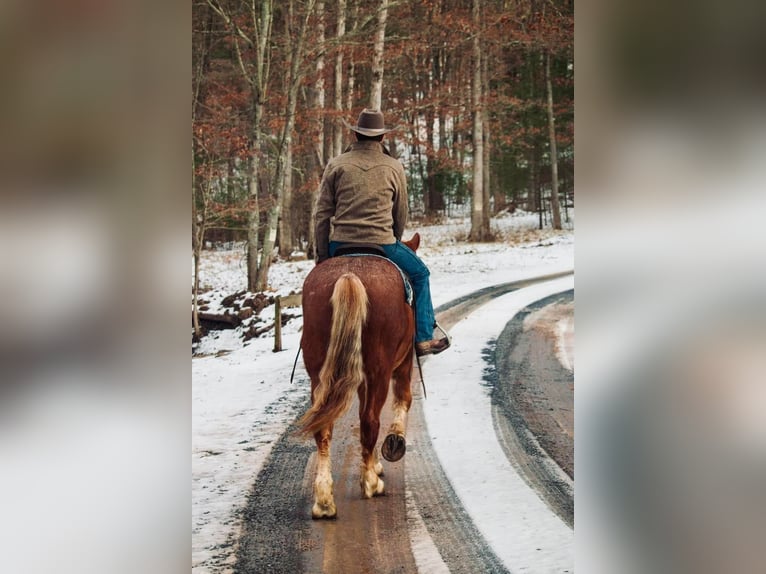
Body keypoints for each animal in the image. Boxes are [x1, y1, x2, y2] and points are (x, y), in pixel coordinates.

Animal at [300, 234, 420, 520]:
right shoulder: (403, 365)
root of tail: (349, 275)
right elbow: (403, 399)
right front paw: (394, 443)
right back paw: (371, 485)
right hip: (380, 370)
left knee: (324, 428)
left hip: (319, 374)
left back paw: (324, 502)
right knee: (370, 421)